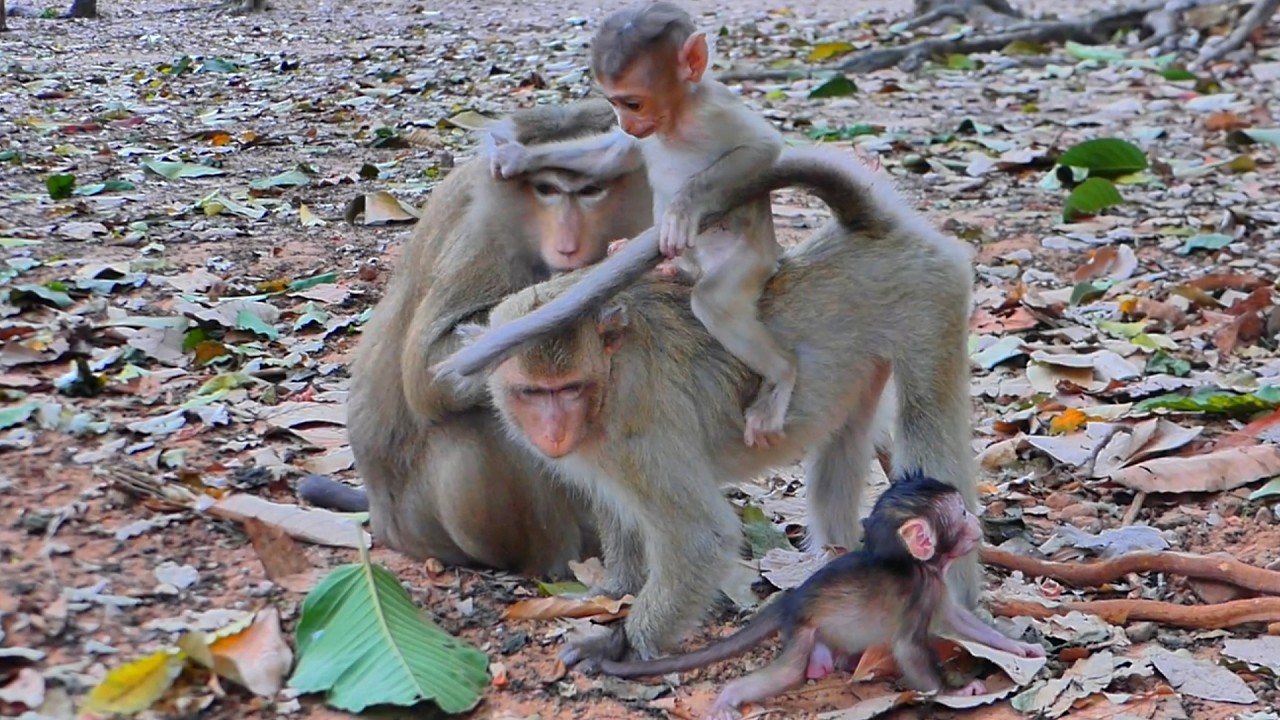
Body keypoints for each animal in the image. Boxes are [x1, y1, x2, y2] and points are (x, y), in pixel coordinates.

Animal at [296, 99, 655, 579]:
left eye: (591, 191)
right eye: (546, 189)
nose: (567, 244)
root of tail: (384, 520)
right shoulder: (482, 236)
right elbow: (430, 371)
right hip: (430, 524)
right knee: (480, 420)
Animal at [446, 144, 981, 663]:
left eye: (569, 389)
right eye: (532, 392)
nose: (553, 432)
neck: (613, 377)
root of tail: (871, 227)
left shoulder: (637, 430)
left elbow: (702, 537)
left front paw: (620, 645)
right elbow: (618, 512)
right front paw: (613, 591)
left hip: (929, 302)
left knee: (929, 437)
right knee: (842, 444)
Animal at [483, 1, 797, 449]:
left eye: (632, 103)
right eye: (614, 104)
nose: (627, 123)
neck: (677, 118)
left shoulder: (715, 109)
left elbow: (763, 148)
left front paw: (683, 208)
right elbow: (617, 154)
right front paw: (517, 158)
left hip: (747, 259)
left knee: (714, 300)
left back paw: (783, 374)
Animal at [592, 473, 1045, 720]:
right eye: (961, 513)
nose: (976, 523)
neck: (915, 565)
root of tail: (791, 600)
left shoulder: (933, 587)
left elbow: (957, 620)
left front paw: (1017, 649)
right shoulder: (916, 593)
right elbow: (910, 650)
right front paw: (953, 692)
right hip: (803, 632)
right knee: (787, 672)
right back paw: (731, 696)